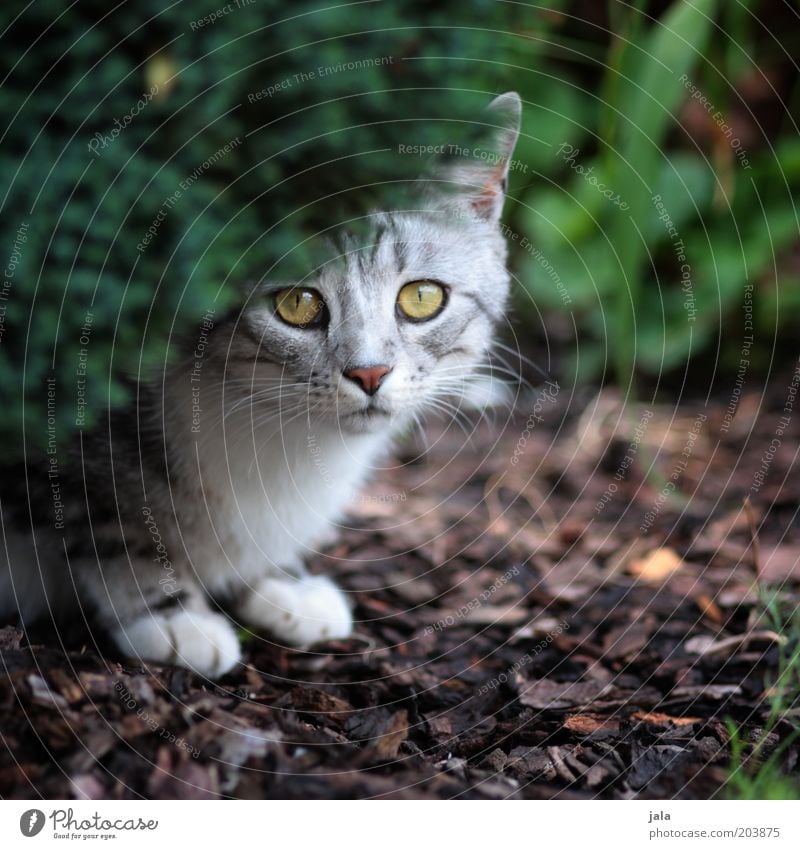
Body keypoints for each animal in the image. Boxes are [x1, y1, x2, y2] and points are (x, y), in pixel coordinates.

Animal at [0, 91, 520, 676]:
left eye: (422, 297)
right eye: (296, 303)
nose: (369, 373)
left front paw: (280, 584)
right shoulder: (70, 443)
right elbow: (112, 522)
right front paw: (170, 616)